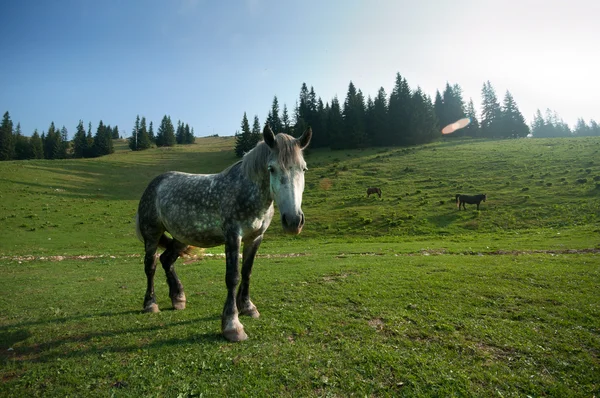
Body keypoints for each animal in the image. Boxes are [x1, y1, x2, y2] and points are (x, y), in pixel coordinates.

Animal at [137, 125, 314, 342]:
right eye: (271, 168)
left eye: (303, 168)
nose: (293, 221)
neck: (247, 190)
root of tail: (154, 184)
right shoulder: (232, 236)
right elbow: (233, 277)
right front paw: (232, 325)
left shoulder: (255, 238)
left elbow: (247, 272)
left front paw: (247, 307)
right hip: (151, 233)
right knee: (151, 265)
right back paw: (150, 304)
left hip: (181, 236)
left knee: (167, 260)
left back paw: (178, 298)